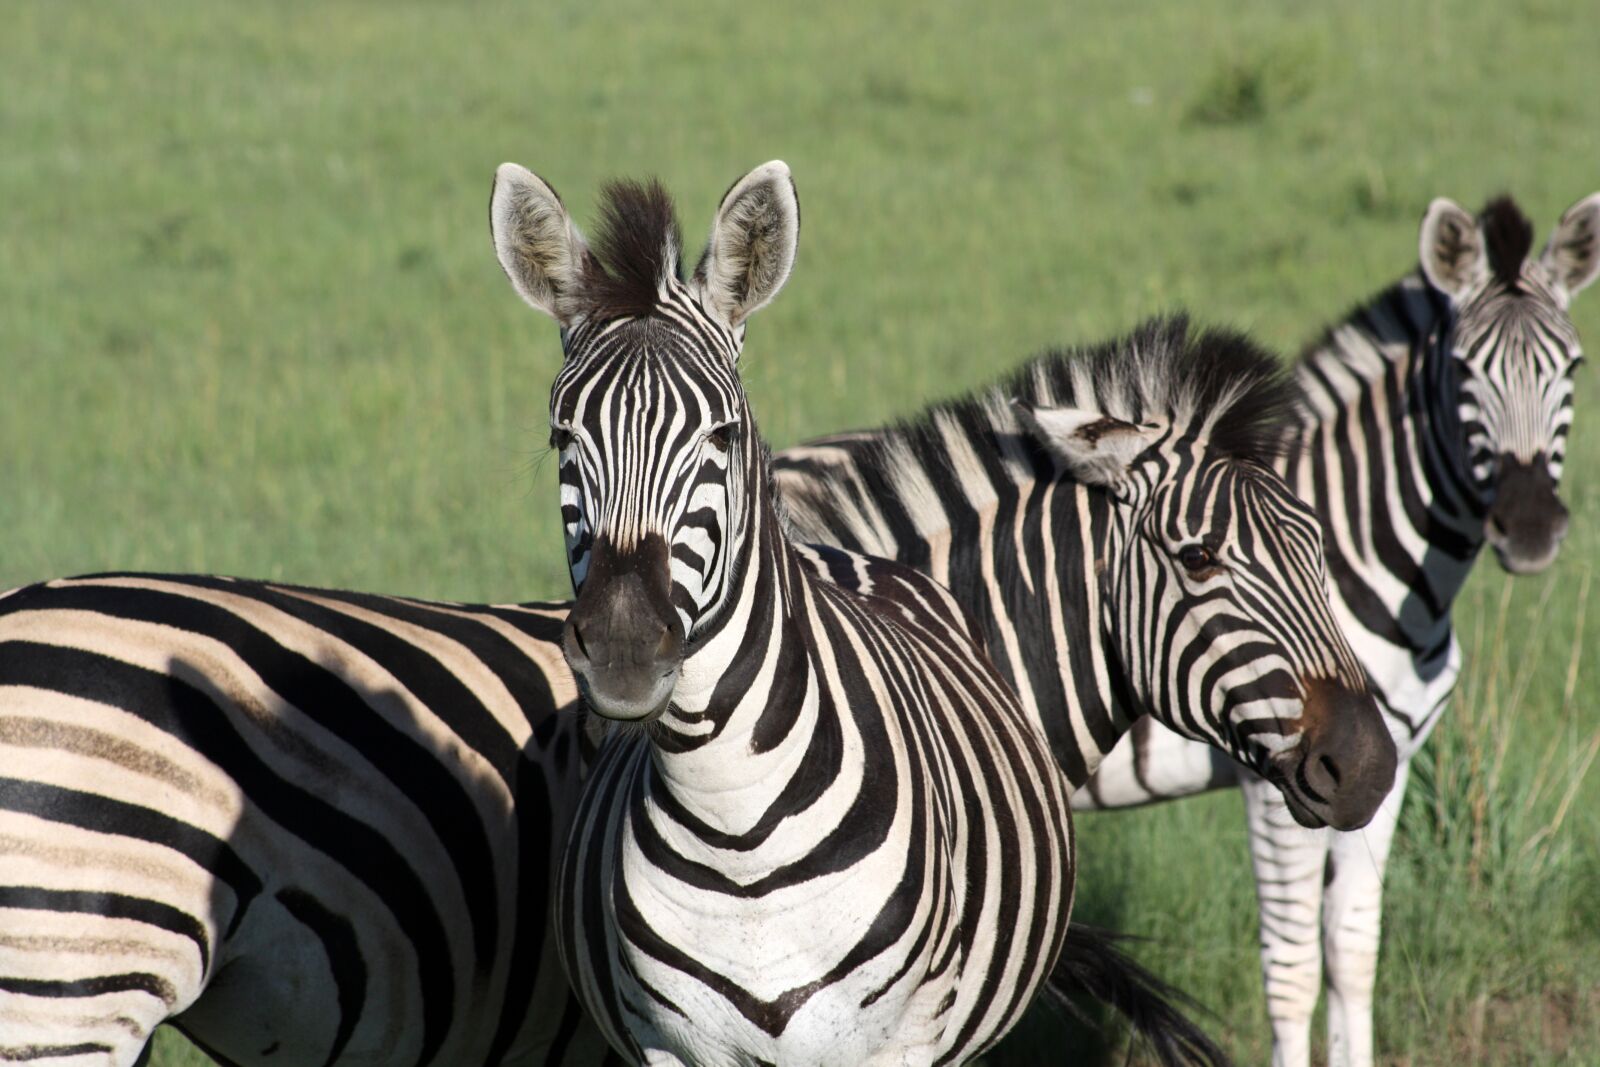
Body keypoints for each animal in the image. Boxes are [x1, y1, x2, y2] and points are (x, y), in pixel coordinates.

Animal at [1025, 194, 1600, 1067]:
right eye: (1467, 372)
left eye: (1571, 368)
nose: (1531, 527)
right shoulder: (1275, 782)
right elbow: (1293, 969)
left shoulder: (1386, 765)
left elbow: (1353, 949)